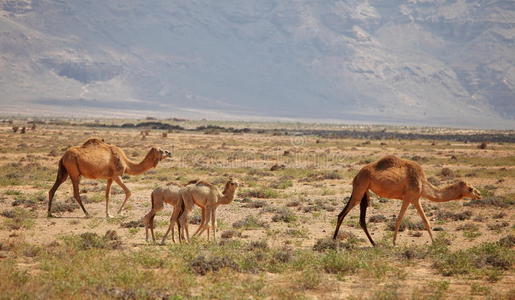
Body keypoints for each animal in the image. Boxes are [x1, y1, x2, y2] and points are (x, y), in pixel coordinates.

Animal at [332, 156, 482, 245]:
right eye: (470, 189)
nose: (479, 195)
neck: (423, 183)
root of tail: (356, 175)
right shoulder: (409, 197)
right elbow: (400, 219)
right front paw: (394, 243)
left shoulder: (415, 199)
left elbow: (425, 221)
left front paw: (434, 242)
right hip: (360, 188)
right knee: (342, 214)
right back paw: (333, 241)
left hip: (364, 191)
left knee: (361, 219)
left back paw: (374, 243)